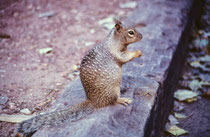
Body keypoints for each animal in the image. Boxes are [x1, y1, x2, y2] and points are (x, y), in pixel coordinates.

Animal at [14, 19, 143, 136]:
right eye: (131, 32)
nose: (142, 36)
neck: (113, 40)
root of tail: (92, 101)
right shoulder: (117, 52)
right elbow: (124, 57)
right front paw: (137, 52)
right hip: (112, 90)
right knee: (113, 100)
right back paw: (122, 99)